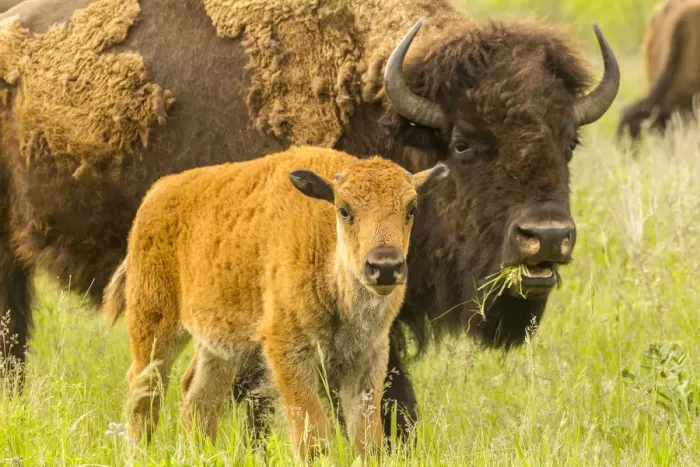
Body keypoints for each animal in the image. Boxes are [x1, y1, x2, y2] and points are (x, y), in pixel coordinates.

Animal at [102, 146, 448, 457]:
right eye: (344, 209)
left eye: (411, 208)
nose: (385, 266)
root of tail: (156, 195)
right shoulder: (288, 352)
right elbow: (313, 437)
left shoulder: (368, 359)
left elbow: (368, 440)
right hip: (155, 327)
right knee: (145, 391)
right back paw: (138, 453)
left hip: (219, 345)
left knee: (199, 397)